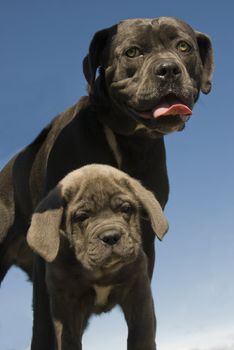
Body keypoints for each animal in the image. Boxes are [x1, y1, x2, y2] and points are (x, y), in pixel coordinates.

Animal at [0, 15, 212, 348]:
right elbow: (48, 326)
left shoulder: (144, 248)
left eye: (183, 47)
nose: (168, 69)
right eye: (132, 52)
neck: (128, 139)